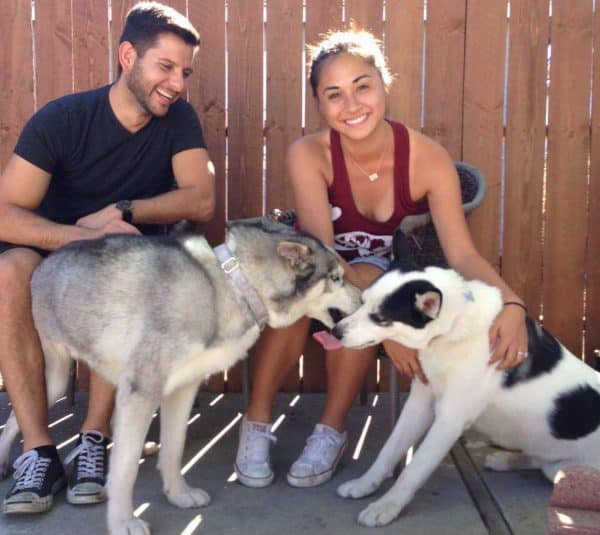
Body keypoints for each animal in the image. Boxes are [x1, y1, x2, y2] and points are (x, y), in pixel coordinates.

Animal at [332, 234, 600, 528]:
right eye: (362, 301)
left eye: (380, 318)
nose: (335, 331)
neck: (453, 325)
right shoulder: (418, 405)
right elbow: (388, 450)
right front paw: (364, 484)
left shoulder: (449, 420)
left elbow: (413, 470)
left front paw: (386, 506)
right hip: (553, 465)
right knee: (540, 461)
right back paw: (506, 459)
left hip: (568, 471)